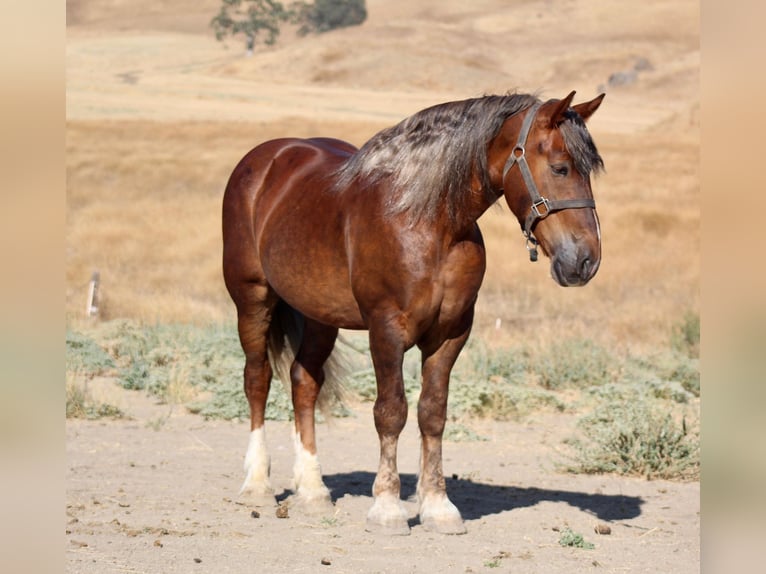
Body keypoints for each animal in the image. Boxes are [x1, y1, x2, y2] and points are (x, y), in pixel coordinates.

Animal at [220, 90, 608, 536]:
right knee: (257, 380)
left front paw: (438, 507)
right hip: (253, 300)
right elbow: (391, 413)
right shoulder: (386, 330)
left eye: (589, 172)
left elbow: (432, 414)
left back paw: (312, 491)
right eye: (561, 168)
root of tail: (265, 158)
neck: (429, 221)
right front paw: (387, 508)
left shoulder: (450, 334)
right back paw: (257, 485)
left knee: (304, 382)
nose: (585, 262)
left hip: (319, 316)